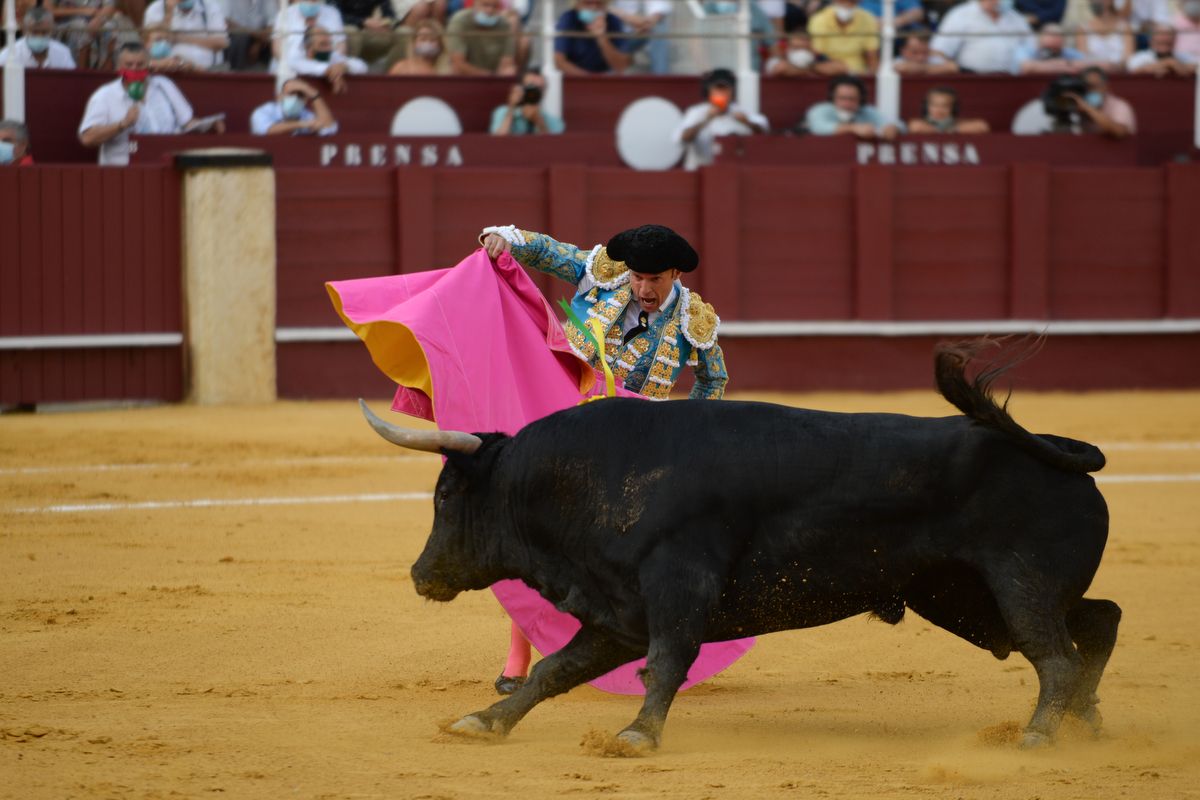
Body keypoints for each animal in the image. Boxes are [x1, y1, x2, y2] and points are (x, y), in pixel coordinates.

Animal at [360, 340, 1118, 753]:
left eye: (446, 497)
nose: (421, 574)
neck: (582, 476)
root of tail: (1055, 449)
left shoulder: (677, 585)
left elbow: (668, 662)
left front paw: (637, 736)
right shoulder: (618, 613)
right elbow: (554, 670)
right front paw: (483, 722)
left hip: (1018, 584)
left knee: (1056, 655)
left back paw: (1038, 735)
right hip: (966, 598)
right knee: (1096, 623)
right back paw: (1088, 722)